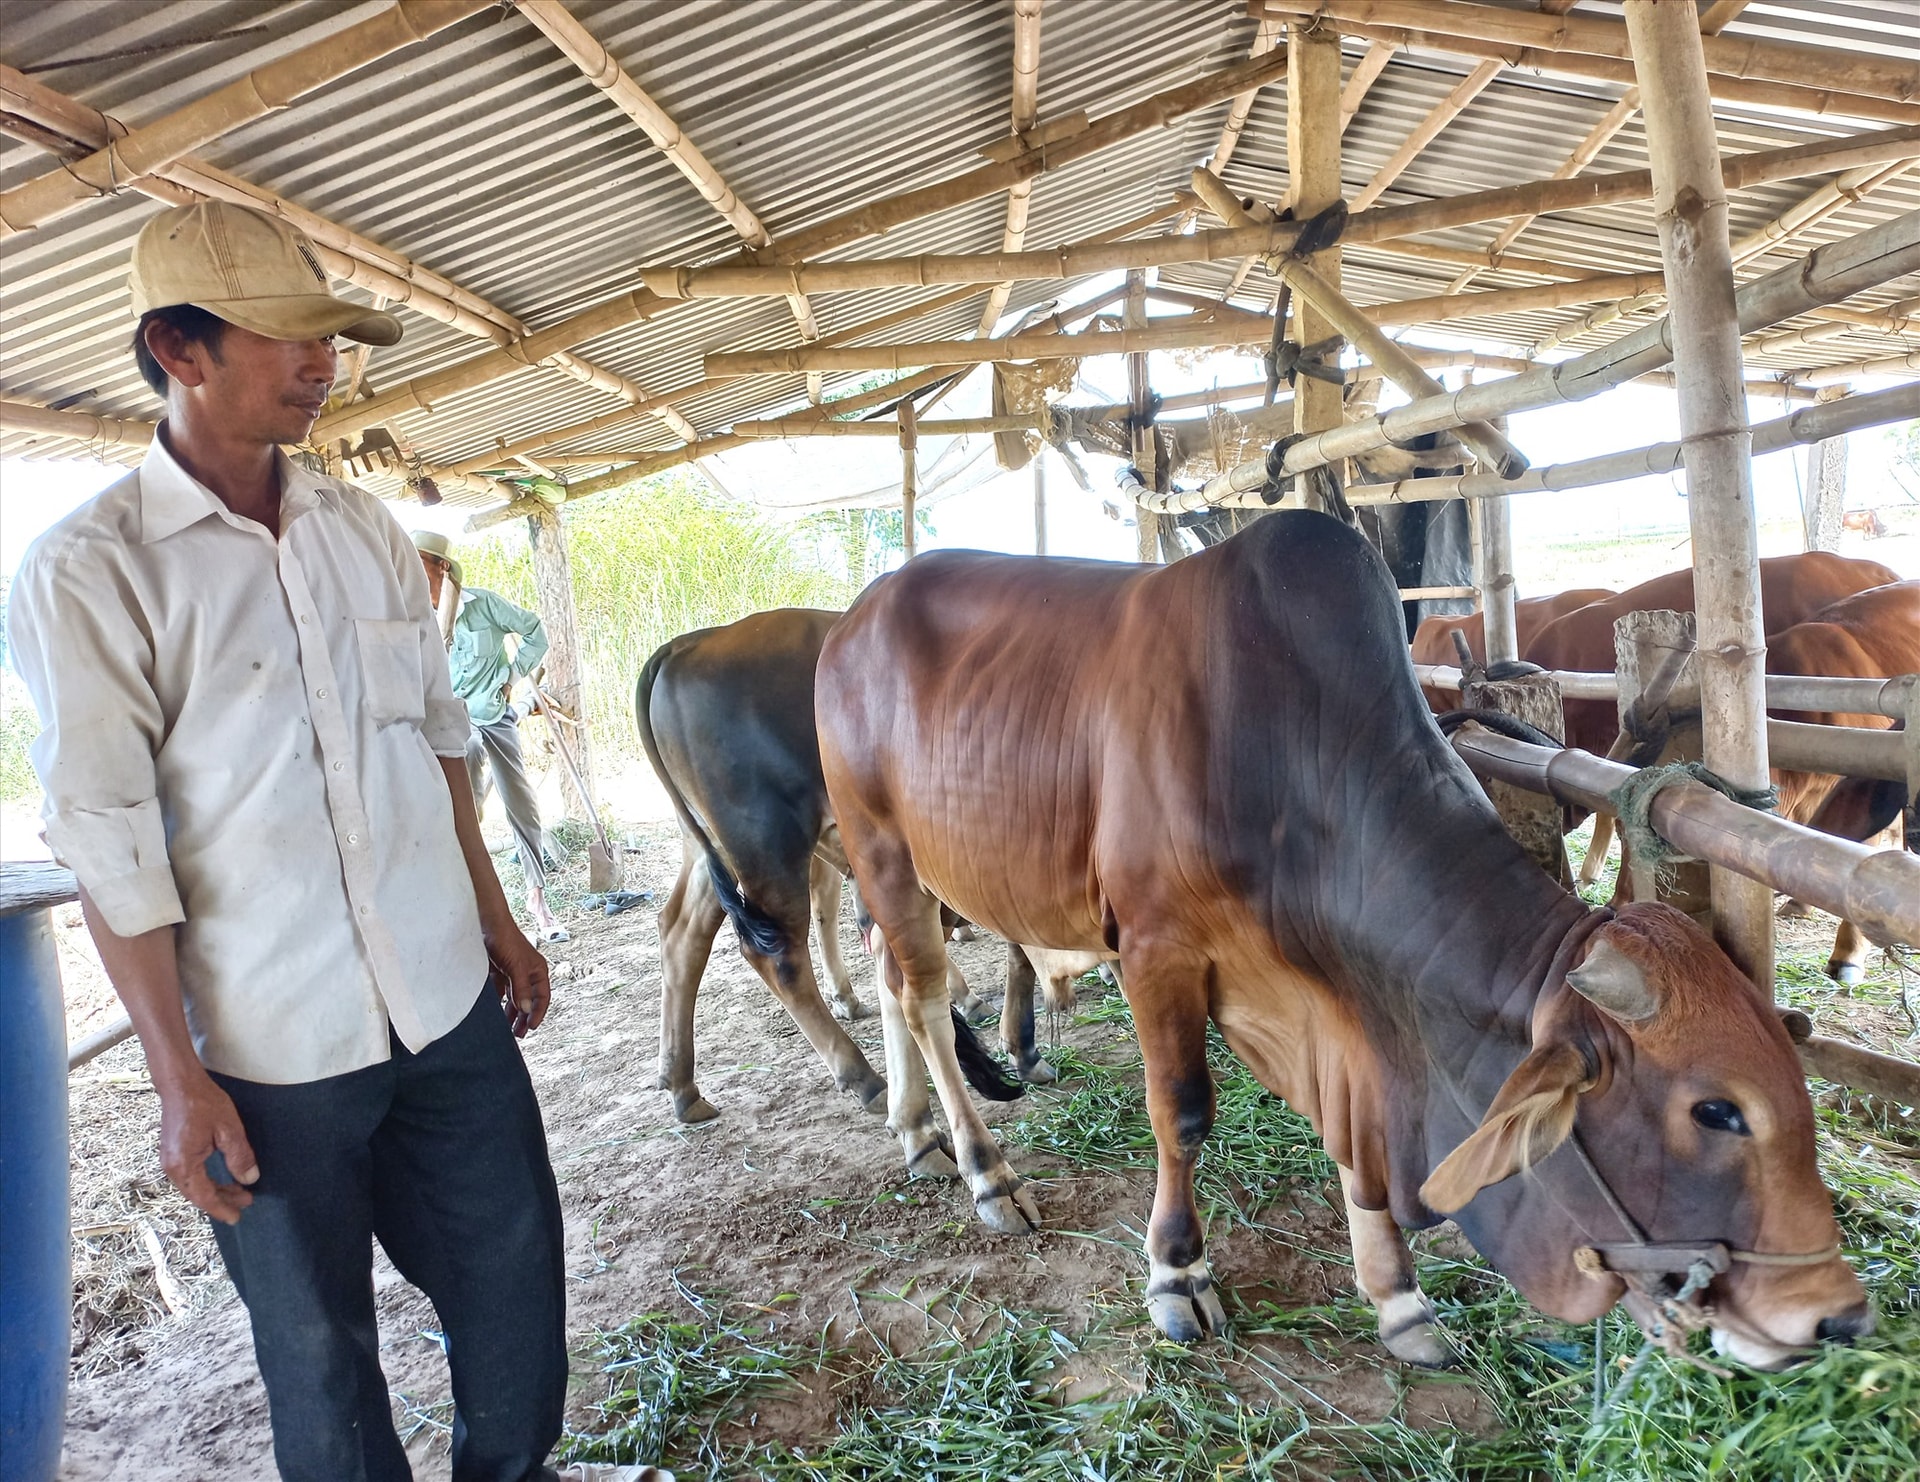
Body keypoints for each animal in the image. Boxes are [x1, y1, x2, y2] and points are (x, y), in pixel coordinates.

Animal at [817, 514, 1866, 1374]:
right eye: (1715, 1112)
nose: (1835, 1314)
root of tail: (850, 617)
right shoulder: (1156, 948)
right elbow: (1182, 1115)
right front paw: (1177, 1276)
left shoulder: (1345, 1013)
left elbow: (1358, 1149)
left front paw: (1398, 1299)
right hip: (881, 847)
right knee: (921, 995)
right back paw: (985, 1171)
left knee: (897, 983)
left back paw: (915, 1130)